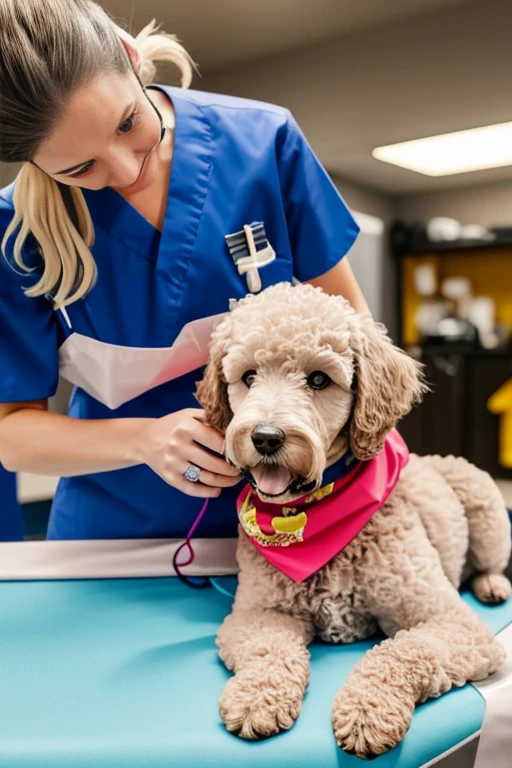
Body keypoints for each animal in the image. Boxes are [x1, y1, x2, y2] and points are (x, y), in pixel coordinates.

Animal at [195, 280, 508, 756]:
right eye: (248, 376)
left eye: (319, 379)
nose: (266, 437)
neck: (310, 518)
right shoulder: (257, 613)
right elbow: (268, 651)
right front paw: (257, 696)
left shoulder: (450, 621)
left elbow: (401, 651)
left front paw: (367, 710)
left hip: (482, 499)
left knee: (490, 561)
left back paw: (492, 584)